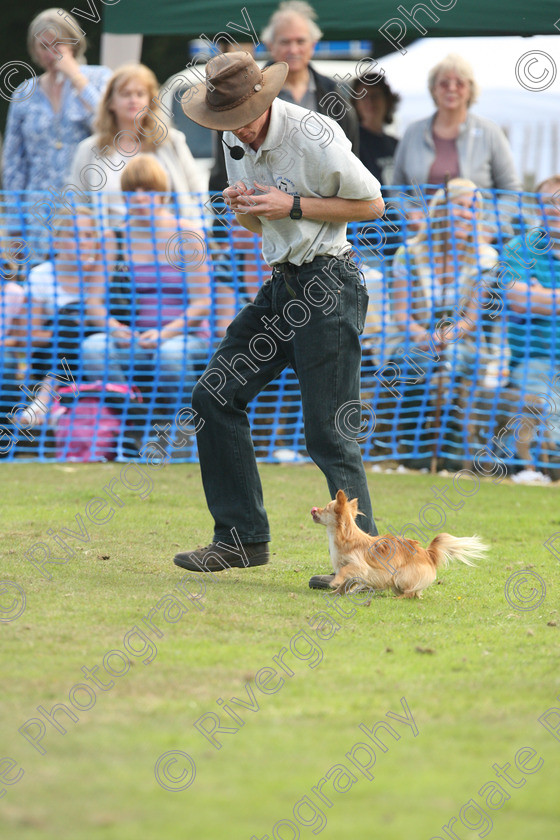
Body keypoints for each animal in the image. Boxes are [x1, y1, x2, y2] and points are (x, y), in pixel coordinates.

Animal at [308, 486, 488, 596]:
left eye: (325, 509)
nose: (314, 509)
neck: (342, 537)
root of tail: (428, 554)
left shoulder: (359, 566)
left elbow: (345, 572)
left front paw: (334, 582)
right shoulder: (353, 573)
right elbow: (345, 584)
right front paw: (334, 593)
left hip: (400, 576)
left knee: (411, 594)